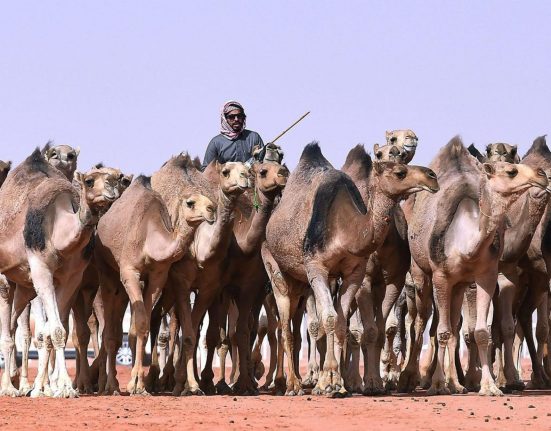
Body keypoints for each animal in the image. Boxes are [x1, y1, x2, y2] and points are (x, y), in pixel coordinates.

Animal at [0, 149, 124, 398]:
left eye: (118, 177)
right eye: (89, 181)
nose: (112, 189)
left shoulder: (72, 278)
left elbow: (55, 332)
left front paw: (54, 388)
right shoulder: (41, 271)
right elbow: (54, 330)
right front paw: (60, 387)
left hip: (23, 286)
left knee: (12, 324)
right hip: (6, 278)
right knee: (7, 329)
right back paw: (8, 388)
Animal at [95, 175, 216, 394]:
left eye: (208, 199)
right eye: (190, 203)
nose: (212, 209)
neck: (149, 239)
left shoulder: (158, 276)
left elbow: (141, 326)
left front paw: (138, 383)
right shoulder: (130, 271)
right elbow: (142, 323)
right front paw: (136, 384)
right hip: (105, 269)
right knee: (109, 326)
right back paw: (111, 386)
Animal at [264, 143, 440, 398]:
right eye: (400, 172)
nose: (432, 176)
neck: (345, 230)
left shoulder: (354, 274)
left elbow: (341, 322)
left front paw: (337, 383)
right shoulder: (317, 267)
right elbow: (330, 318)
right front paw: (328, 383)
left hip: (302, 282)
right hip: (277, 270)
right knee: (285, 326)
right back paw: (293, 386)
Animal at [406, 137, 548, 396]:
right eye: (511, 171)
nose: (542, 174)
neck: (464, 243)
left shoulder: (486, 276)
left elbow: (481, 332)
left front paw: (489, 386)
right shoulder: (441, 276)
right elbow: (441, 331)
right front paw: (437, 385)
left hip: (460, 285)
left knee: (454, 325)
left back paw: (456, 384)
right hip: (421, 274)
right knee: (423, 323)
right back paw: (413, 379)